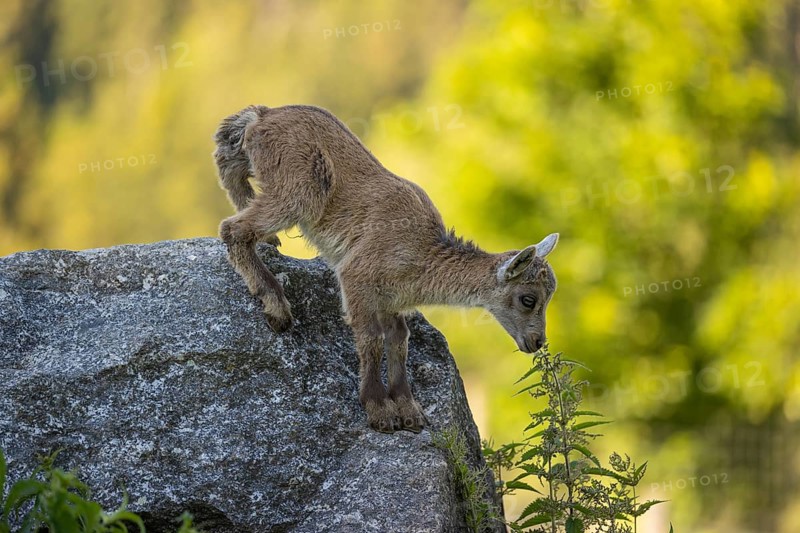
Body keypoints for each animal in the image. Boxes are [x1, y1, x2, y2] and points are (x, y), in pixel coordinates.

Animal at [214, 104, 559, 433]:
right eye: (528, 299)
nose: (537, 342)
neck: (422, 255)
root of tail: (262, 116)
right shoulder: (356, 276)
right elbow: (371, 339)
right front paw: (379, 410)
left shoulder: (391, 301)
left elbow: (399, 339)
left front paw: (409, 411)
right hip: (299, 192)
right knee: (233, 228)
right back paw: (276, 306)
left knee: (230, 166)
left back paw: (268, 241)